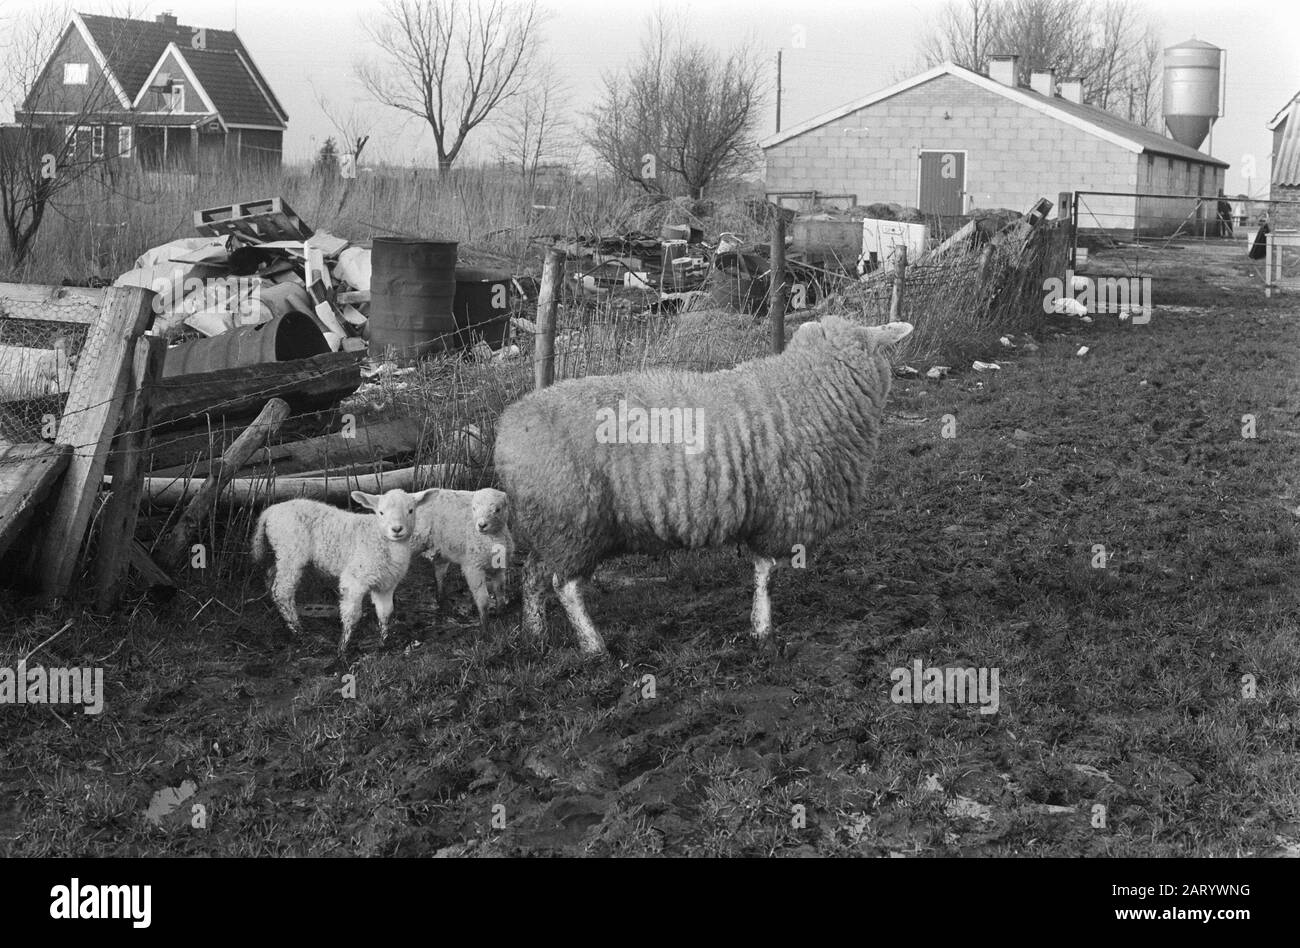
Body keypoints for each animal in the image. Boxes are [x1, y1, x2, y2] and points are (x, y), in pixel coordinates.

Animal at [250, 488, 439, 650]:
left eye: (410, 510)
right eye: (381, 513)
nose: (397, 529)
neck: (380, 539)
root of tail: (270, 511)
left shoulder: (386, 584)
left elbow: (385, 613)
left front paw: (385, 642)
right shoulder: (354, 580)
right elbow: (352, 615)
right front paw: (343, 649)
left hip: (280, 553)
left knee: (271, 576)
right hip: (291, 550)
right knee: (282, 591)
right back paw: (298, 631)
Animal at [410, 488, 512, 629]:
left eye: (497, 509)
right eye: (474, 508)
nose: (482, 525)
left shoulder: (499, 567)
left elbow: (500, 591)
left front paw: (501, 615)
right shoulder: (473, 568)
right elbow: (483, 599)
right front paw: (485, 626)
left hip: (443, 548)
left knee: (439, 572)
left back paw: (441, 599)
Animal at [493, 314, 915, 655]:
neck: (805, 387)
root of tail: (508, 428)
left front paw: (759, 628)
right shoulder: (779, 514)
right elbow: (767, 574)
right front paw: (763, 630)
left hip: (548, 525)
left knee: (532, 575)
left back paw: (535, 635)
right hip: (573, 520)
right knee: (565, 586)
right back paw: (593, 646)